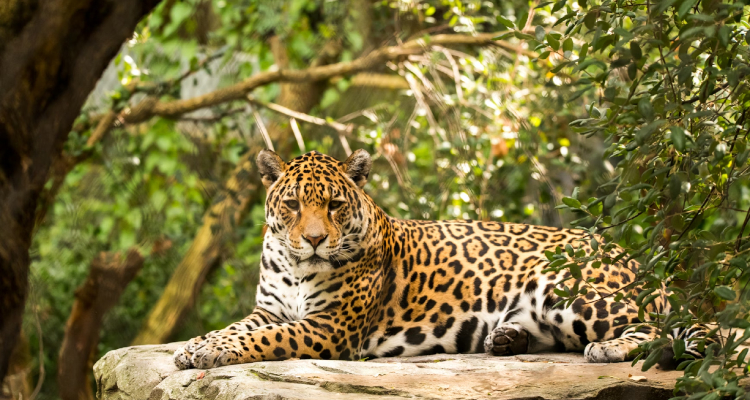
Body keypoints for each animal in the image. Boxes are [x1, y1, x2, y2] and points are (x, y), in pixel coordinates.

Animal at [174, 149, 717, 370]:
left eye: (333, 205)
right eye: (291, 205)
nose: (312, 239)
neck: (295, 266)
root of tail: (631, 256)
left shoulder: (329, 328)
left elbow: (264, 339)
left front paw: (207, 351)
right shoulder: (269, 308)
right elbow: (239, 328)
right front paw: (196, 345)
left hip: (566, 287)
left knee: (667, 326)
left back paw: (608, 349)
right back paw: (506, 337)